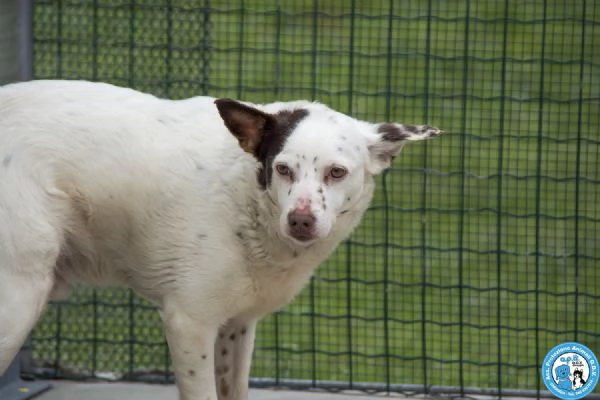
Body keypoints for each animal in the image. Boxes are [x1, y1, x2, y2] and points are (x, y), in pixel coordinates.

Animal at [0, 79, 440, 398]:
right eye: (282, 169)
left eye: (337, 172)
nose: (300, 221)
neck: (246, 202)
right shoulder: (189, 323)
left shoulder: (237, 325)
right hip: (19, 296)